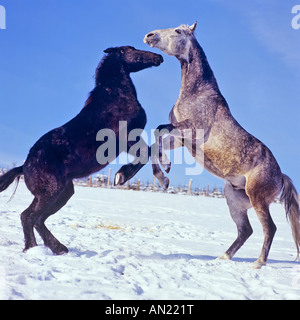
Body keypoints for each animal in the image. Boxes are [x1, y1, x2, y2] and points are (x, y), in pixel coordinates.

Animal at [0, 45, 163, 255]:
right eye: (131, 50)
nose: (158, 57)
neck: (115, 96)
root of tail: (24, 167)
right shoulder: (127, 138)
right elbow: (145, 154)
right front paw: (121, 177)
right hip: (51, 192)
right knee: (30, 217)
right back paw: (47, 248)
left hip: (63, 193)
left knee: (35, 218)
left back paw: (44, 248)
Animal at [144, 21, 298, 268]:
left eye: (178, 31)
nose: (149, 36)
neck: (198, 93)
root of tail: (280, 176)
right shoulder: (182, 138)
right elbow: (155, 143)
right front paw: (164, 176)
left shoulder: (191, 129)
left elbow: (159, 129)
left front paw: (165, 173)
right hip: (234, 199)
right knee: (246, 230)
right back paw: (223, 257)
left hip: (258, 199)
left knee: (269, 228)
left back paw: (258, 263)